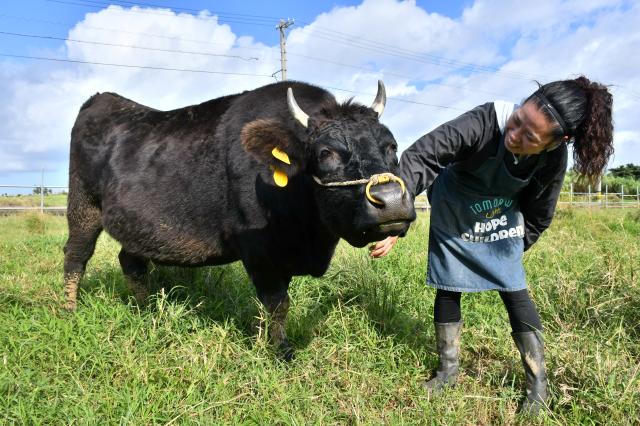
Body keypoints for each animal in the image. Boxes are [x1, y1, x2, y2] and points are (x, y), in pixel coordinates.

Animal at [63, 80, 416, 359]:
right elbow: (277, 303)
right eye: (325, 153)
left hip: (139, 224)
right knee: (76, 256)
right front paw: (280, 352)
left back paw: (146, 312)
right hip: (83, 205)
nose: (390, 201)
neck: (310, 240)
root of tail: (102, 99)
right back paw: (70, 310)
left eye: (391, 146)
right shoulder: (257, 248)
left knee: (131, 262)